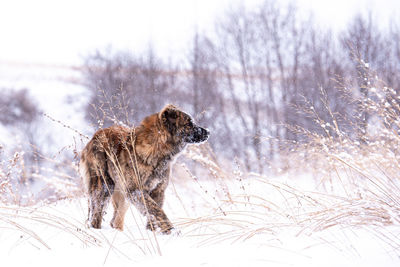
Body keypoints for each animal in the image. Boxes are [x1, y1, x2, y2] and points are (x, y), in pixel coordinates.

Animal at [78, 104, 209, 234]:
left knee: (115, 220)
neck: (157, 147)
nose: (208, 132)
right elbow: (157, 211)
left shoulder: (157, 190)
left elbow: (155, 212)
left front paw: (154, 232)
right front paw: (171, 230)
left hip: (122, 193)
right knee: (96, 217)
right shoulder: (136, 190)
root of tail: (94, 137)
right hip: (104, 186)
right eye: (189, 124)